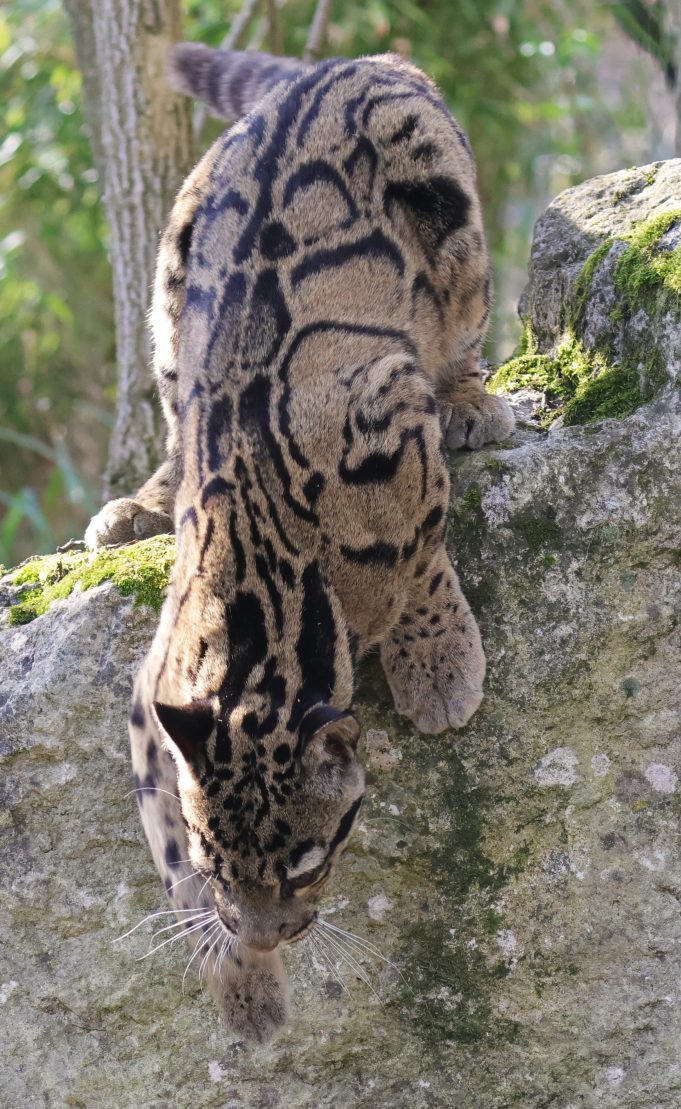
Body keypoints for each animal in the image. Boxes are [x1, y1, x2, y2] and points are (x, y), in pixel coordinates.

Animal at [84, 43, 512, 1042]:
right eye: (218, 862)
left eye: (307, 862)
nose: (267, 933)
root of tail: (337, 62)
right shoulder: (150, 700)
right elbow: (165, 861)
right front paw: (241, 983)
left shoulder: (387, 404)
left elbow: (421, 553)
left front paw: (435, 664)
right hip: (175, 270)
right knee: (174, 412)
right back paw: (141, 505)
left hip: (443, 198)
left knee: (460, 326)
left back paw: (471, 400)